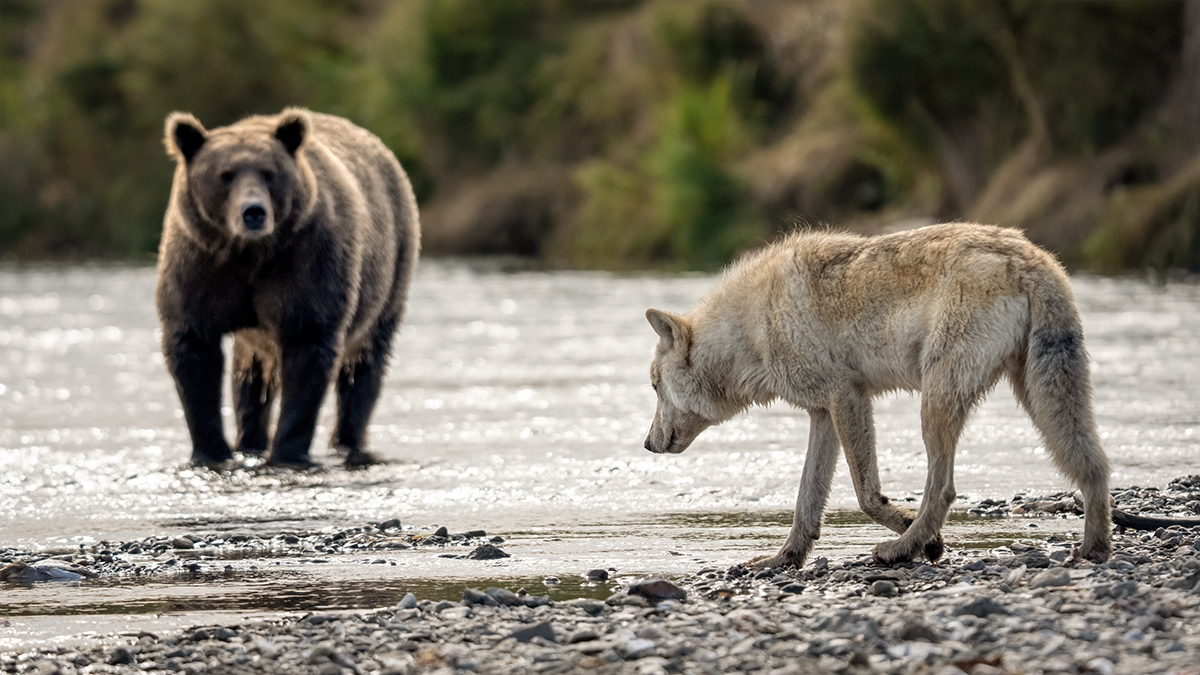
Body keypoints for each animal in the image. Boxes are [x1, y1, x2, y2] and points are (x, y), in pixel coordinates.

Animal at [157, 107, 419, 468]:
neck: (249, 254)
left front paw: (288, 453)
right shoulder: (200, 264)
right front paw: (211, 452)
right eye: (225, 174)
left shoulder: (305, 262)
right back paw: (249, 441)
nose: (253, 212)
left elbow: (307, 346)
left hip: (393, 267)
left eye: (269, 173)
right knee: (252, 376)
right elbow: (194, 348)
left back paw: (348, 440)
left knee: (364, 363)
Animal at [644, 223, 1111, 567]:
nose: (646, 444)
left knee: (944, 489)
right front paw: (784, 559)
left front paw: (924, 540)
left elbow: (866, 496)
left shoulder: (847, 397)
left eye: (653, 387)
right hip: (1044, 401)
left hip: (935, 406)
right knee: (1095, 466)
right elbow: (805, 501)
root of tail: (1030, 257)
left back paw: (904, 547)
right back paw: (1095, 550)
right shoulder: (823, 414)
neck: (750, 327)